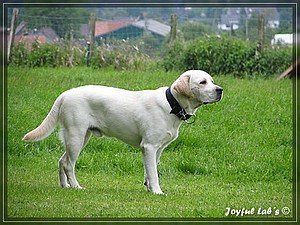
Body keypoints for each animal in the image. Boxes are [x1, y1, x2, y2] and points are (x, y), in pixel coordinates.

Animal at [22, 70, 223, 195]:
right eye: (202, 82)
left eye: (212, 81)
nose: (220, 90)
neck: (171, 104)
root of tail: (65, 94)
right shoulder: (149, 147)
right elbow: (154, 173)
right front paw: (158, 191)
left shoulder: (157, 149)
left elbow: (150, 171)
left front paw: (149, 188)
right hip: (76, 136)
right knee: (68, 164)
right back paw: (76, 186)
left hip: (80, 137)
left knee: (61, 161)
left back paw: (65, 186)